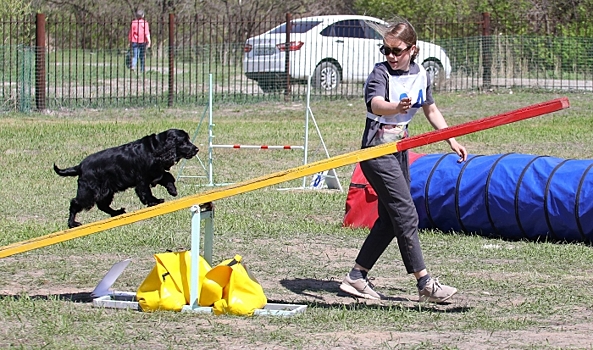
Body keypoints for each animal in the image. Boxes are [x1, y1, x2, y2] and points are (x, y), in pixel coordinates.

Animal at [53, 128, 198, 227]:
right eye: (184, 141)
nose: (196, 149)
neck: (156, 148)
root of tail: (80, 166)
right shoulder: (142, 179)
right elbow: (146, 192)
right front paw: (155, 201)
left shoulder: (156, 172)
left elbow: (167, 177)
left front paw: (173, 190)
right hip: (90, 191)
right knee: (75, 203)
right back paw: (72, 223)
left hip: (106, 191)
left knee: (102, 205)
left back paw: (117, 212)